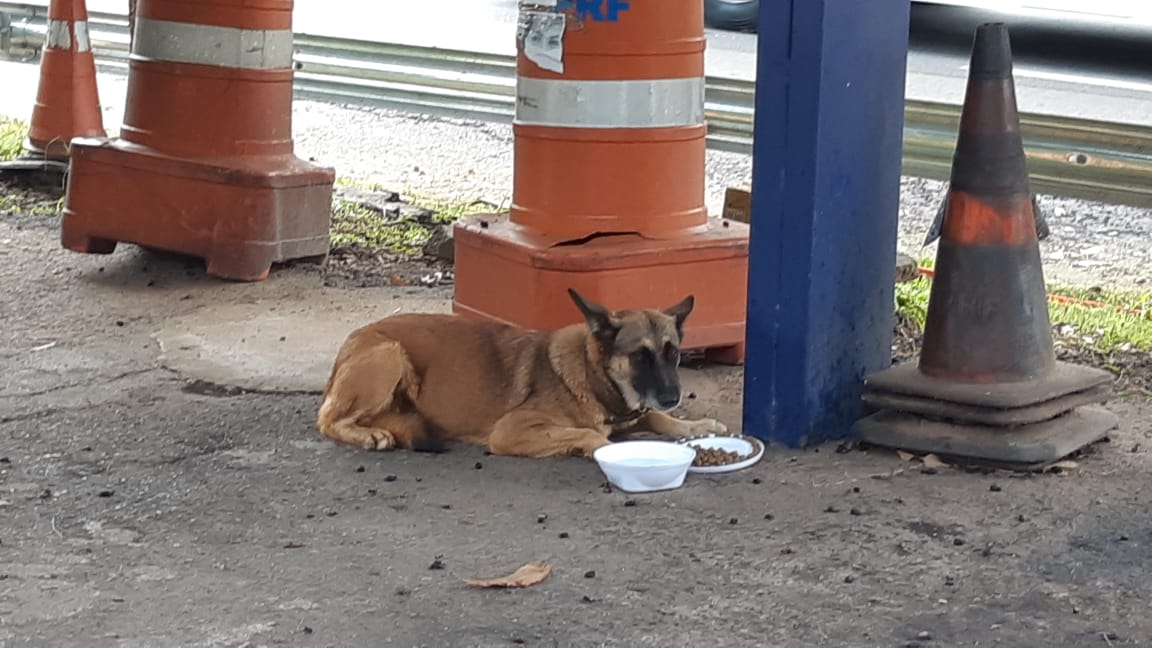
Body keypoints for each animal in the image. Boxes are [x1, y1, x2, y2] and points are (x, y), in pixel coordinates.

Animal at [315, 287, 728, 454]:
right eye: (641, 357)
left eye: (673, 354)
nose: (673, 396)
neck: (590, 373)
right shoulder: (511, 431)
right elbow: (591, 435)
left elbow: (656, 419)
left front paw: (695, 426)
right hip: (389, 354)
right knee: (327, 419)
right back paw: (367, 435)